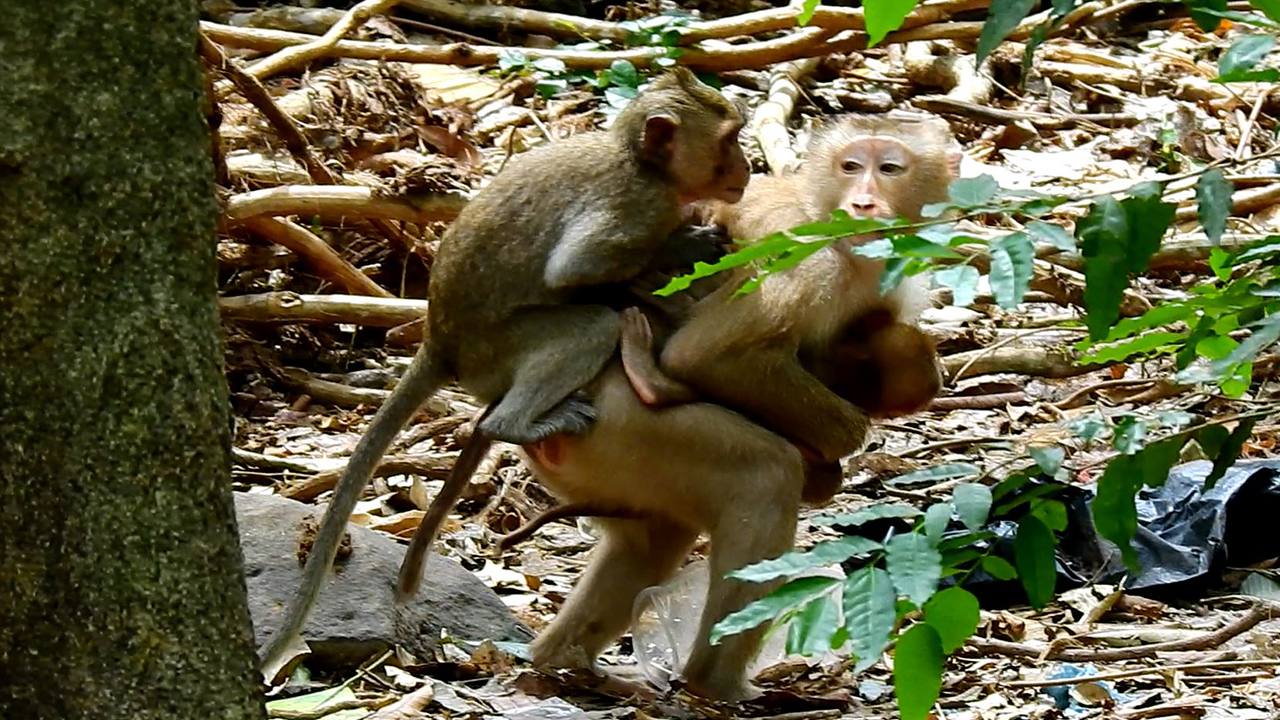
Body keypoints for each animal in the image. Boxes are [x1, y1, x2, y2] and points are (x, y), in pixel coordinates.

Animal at [261, 67, 752, 671]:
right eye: (729, 139)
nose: (747, 165)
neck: (640, 162)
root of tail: (439, 339)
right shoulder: (637, 208)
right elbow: (577, 269)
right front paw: (678, 246)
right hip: (496, 353)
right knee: (592, 324)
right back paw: (514, 422)